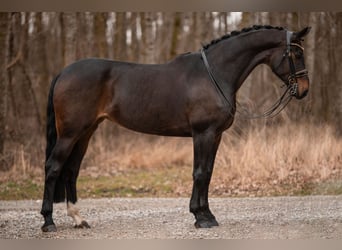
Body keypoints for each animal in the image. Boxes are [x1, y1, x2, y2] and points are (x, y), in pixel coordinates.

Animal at [39, 25, 310, 232]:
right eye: (296, 55)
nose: (304, 90)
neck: (214, 74)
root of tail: (64, 72)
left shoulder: (216, 136)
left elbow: (208, 173)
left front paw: (207, 215)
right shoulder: (203, 133)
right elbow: (200, 173)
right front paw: (201, 217)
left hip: (86, 132)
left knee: (71, 170)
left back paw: (78, 218)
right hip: (70, 134)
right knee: (54, 168)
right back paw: (48, 222)